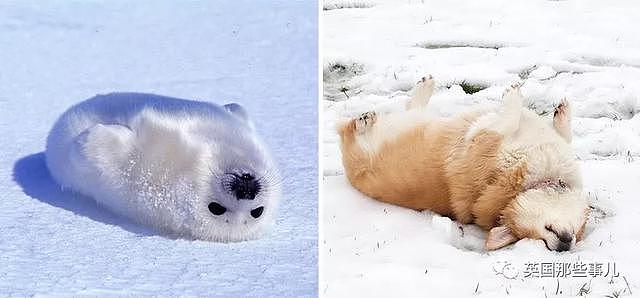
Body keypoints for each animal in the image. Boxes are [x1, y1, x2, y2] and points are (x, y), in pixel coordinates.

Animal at [340, 77, 592, 251]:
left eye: (541, 239)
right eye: (545, 233)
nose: (563, 245)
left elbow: (540, 128)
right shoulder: (484, 139)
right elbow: (519, 122)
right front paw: (522, 100)